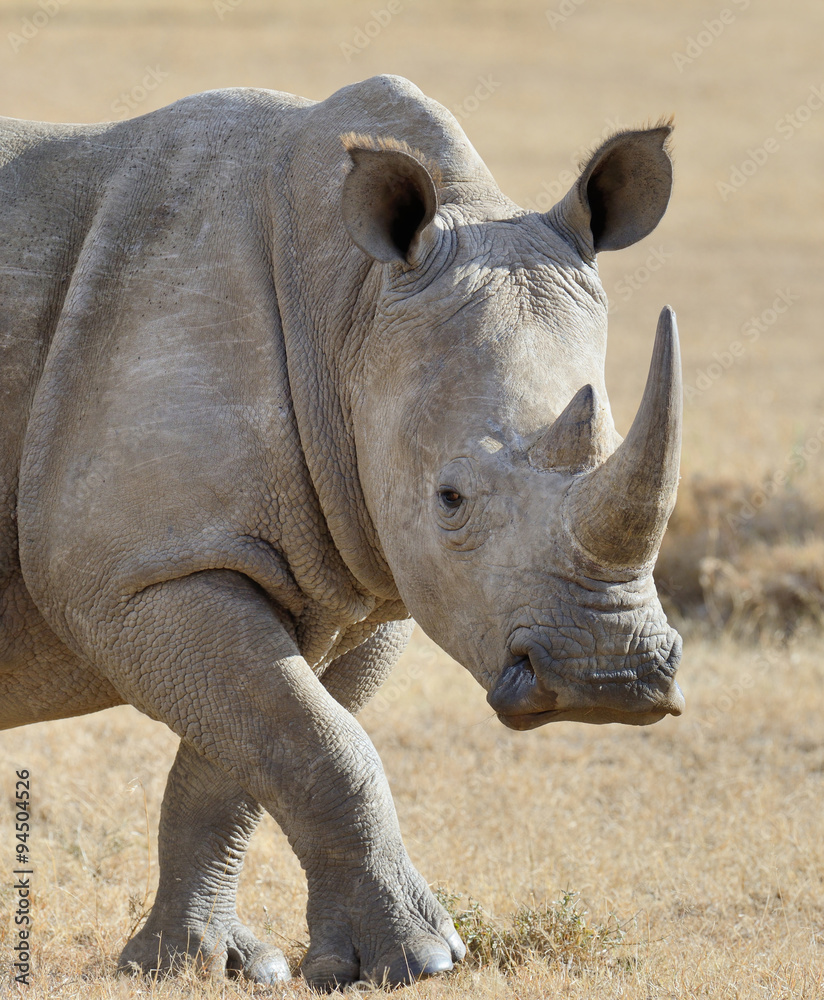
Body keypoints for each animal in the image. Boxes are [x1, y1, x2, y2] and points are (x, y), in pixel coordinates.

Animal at [0, 75, 684, 988]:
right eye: (450, 499)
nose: (608, 681)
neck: (347, 308)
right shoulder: (140, 571)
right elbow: (321, 746)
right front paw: (421, 960)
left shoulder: (357, 578)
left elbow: (252, 758)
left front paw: (200, 966)